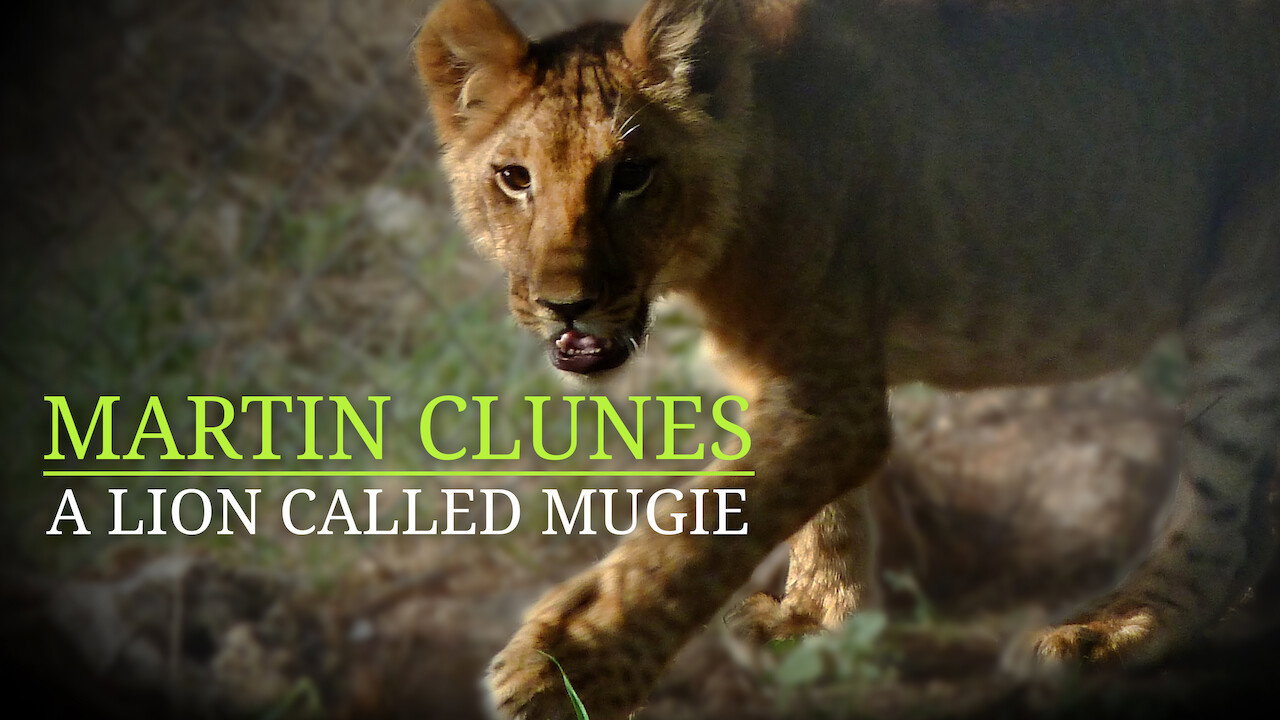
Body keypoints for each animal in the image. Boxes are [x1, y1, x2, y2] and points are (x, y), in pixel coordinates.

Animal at [413, 0, 1280, 718]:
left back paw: (1110, 631)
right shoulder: (790, 383)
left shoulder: (828, 397)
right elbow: (814, 515)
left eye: (631, 175)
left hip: (1247, 289)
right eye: (514, 178)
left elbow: (696, 533)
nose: (566, 302)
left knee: (1227, 513)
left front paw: (562, 670)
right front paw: (815, 619)